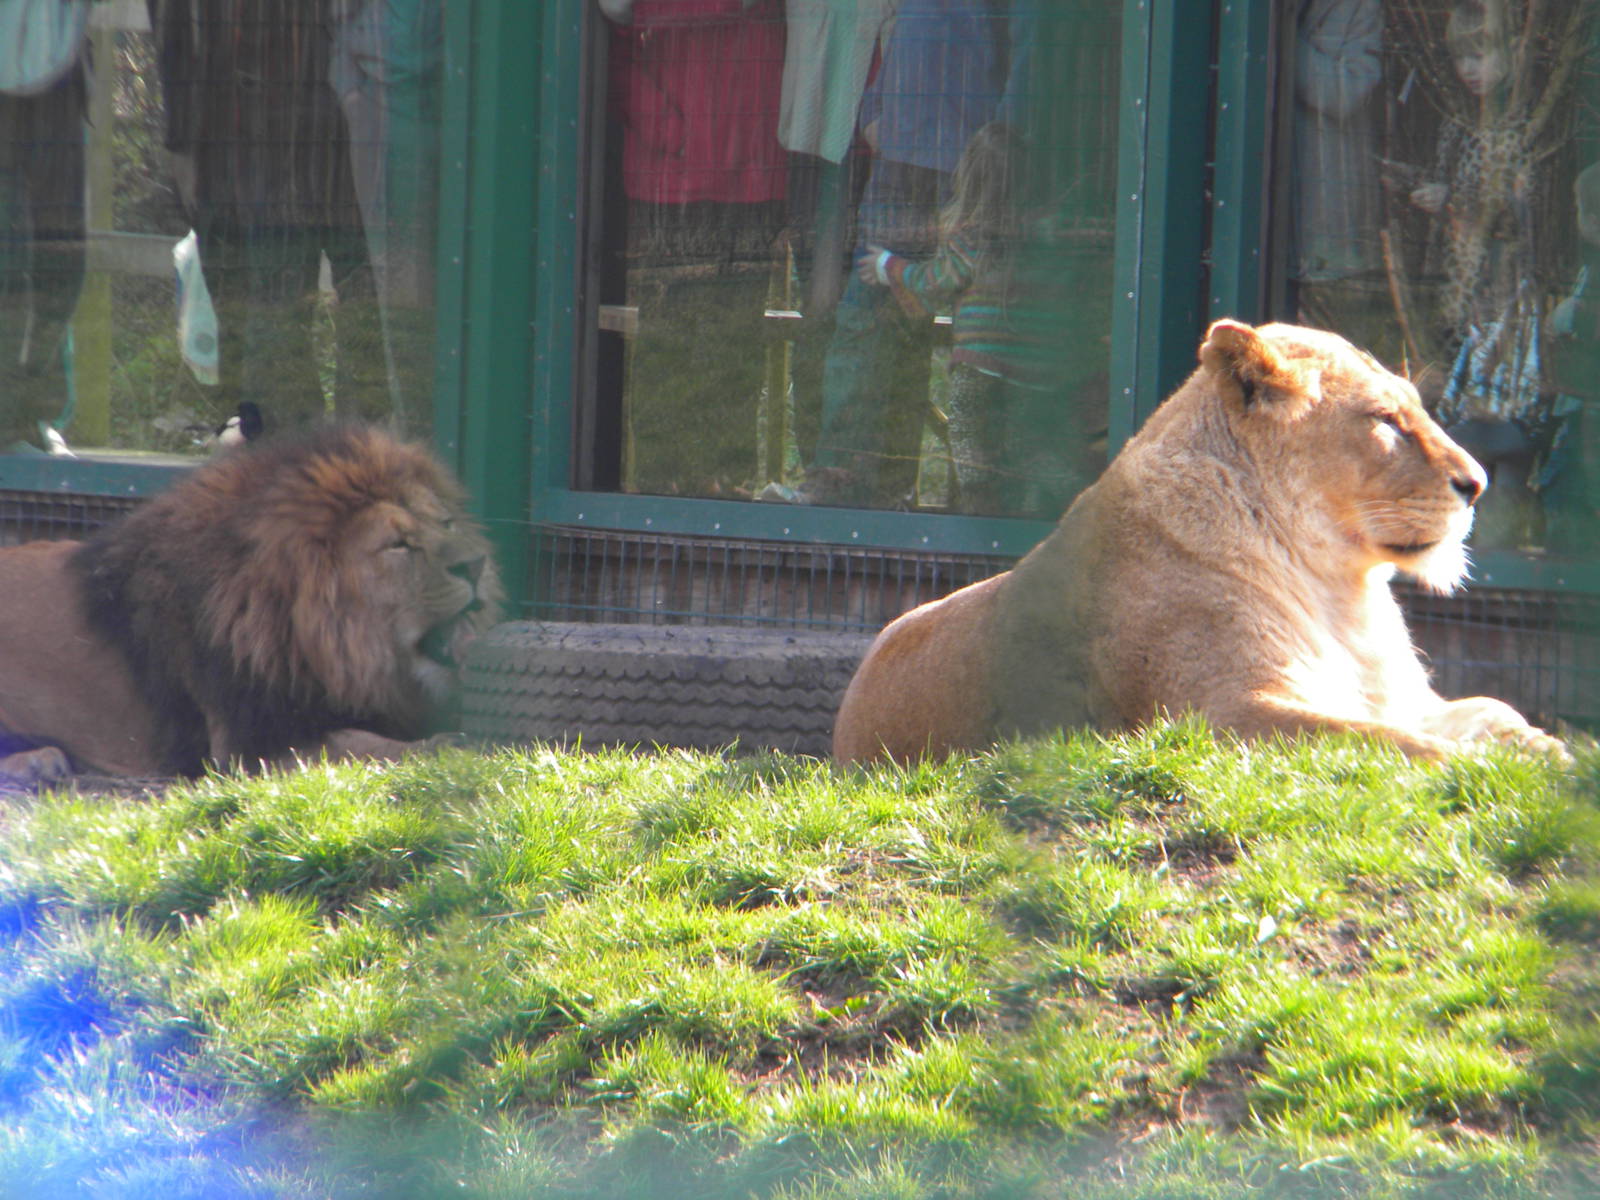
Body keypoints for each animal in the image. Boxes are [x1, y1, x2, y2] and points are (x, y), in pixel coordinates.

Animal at [0, 425, 502, 781]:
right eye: (398, 545)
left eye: (447, 523)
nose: (477, 564)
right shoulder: (246, 746)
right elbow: (351, 742)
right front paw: (440, 745)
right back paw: (38, 763)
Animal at [833, 319, 1566, 764]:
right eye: (1385, 420)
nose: (1477, 483)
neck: (1340, 591)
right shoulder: (1219, 714)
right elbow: (1390, 744)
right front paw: (1505, 769)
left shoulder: (1403, 699)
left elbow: (1485, 706)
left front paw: (1541, 746)